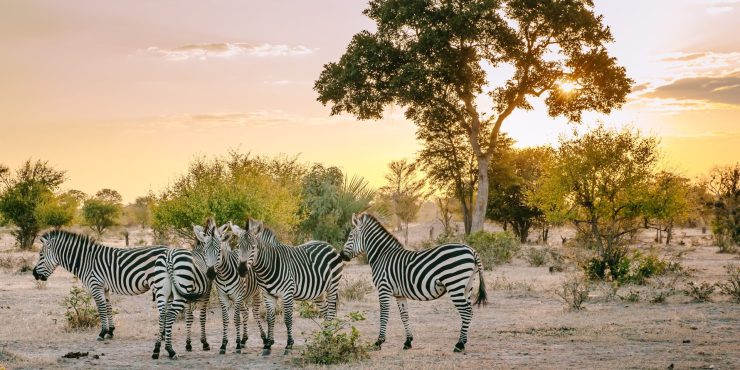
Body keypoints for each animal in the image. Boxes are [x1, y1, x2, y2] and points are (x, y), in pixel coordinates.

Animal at [32, 231, 168, 342]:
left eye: (41, 255)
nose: (34, 274)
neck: (85, 261)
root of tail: (169, 249)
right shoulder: (104, 288)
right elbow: (108, 307)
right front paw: (111, 331)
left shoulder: (95, 285)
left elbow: (101, 308)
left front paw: (102, 333)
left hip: (159, 284)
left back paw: (163, 335)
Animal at [149, 220, 221, 358]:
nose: (212, 273)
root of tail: (169, 256)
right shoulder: (206, 293)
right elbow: (202, 316)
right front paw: (204, 343)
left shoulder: (187, 296)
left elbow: (188, 318)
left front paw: (188, 344)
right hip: (181, 291)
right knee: (170, 315)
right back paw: (170, 350)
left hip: (163, 293)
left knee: (162, 315)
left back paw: (156, 349)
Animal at [231, 220, 344, 356]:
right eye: (238, 246)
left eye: (253, 247)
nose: (241, 271)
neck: (268, 267)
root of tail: (327, 244)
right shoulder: (268, 295)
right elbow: (270, 319)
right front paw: (268, 345)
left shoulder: (287, 294)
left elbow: (288, 319)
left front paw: (289, 345)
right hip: (319, 292)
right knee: (326, 311)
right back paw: (326, 336)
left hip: (332, 286)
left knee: (331, 312)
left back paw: (328, 338)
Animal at [340, 212, 486, 352]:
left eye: (351, 236)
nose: (341, 255)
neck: (382, 256)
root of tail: (471, 250)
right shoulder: (399, 294)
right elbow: (404, 315)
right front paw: (408, 342)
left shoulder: (383, 288)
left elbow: (384, 315)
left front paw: (378, 342)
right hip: (467, 286)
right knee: (469, 311)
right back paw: (463, 342)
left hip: (455, 284)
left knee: (466, 311)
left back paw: (459, 345)